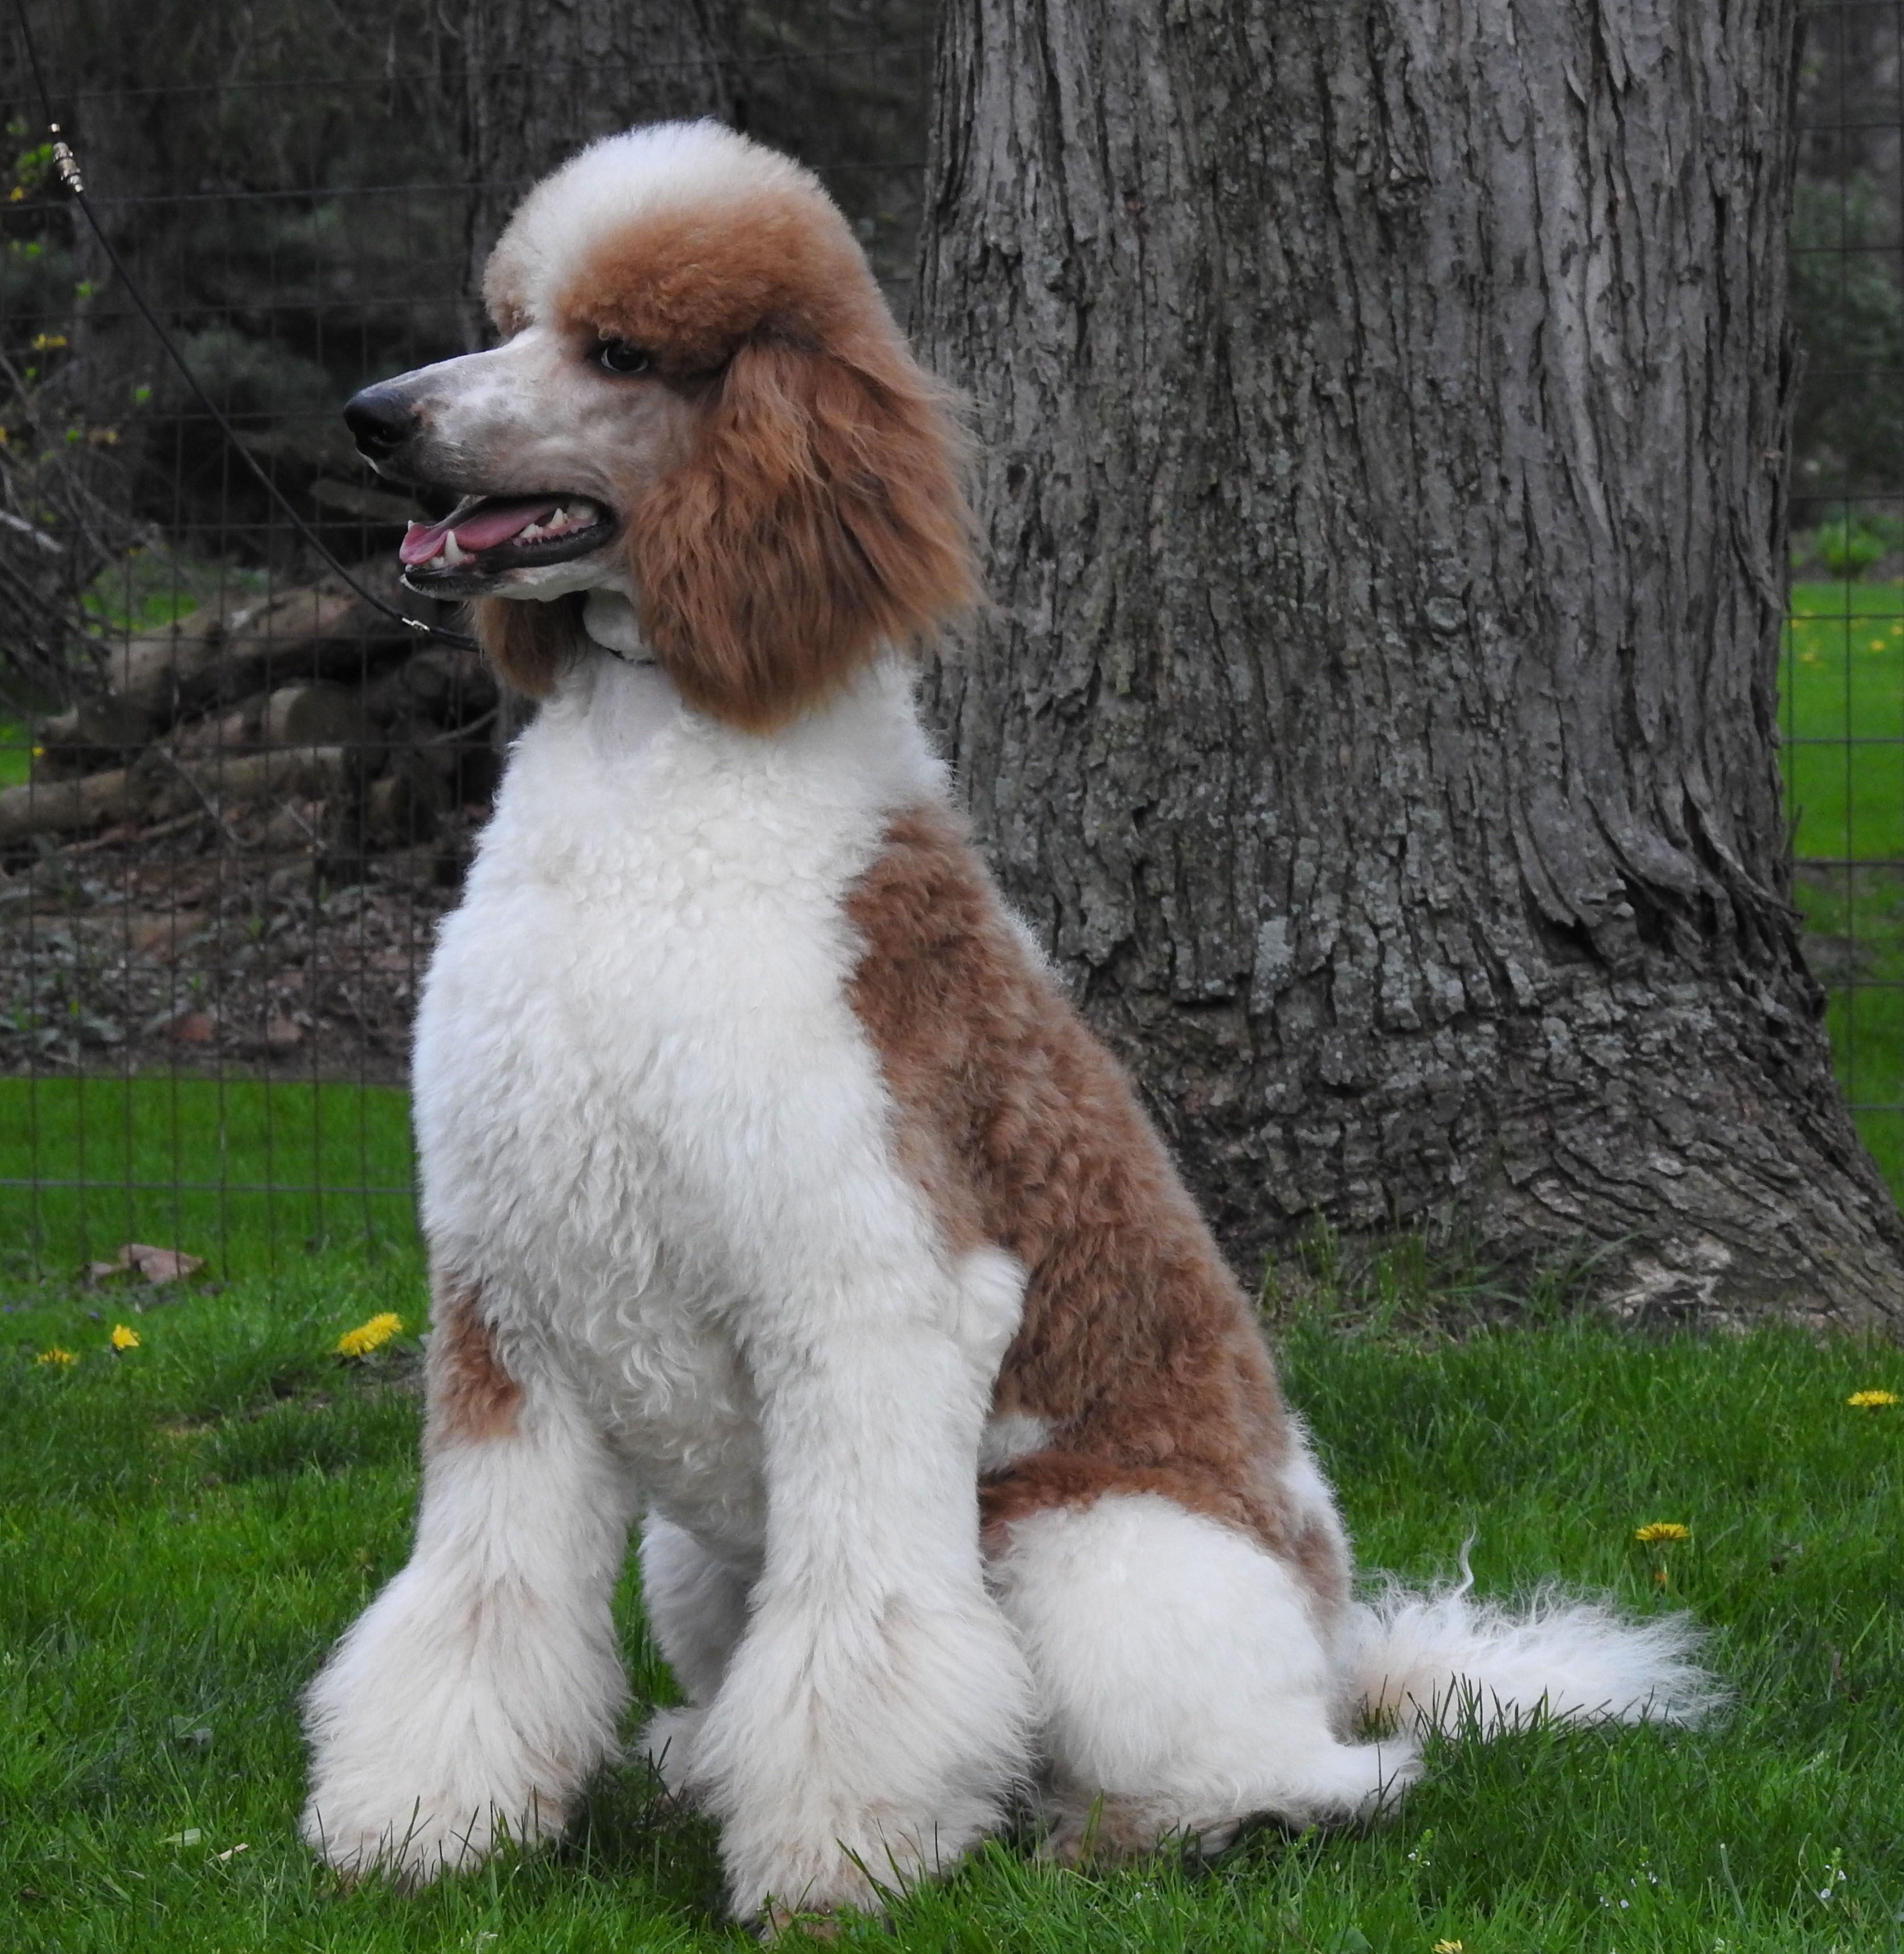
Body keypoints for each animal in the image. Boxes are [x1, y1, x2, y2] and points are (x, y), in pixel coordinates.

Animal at [303, 120, 1715, 1922]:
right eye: (505, 317)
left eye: (616, 351)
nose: (377, 414)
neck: (653, 804)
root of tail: (1342, 1646)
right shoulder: (512, 1293)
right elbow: (471, 1601)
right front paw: (421, 1830)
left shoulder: (875, 1292)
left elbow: (867, 1634)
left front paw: (835, 1862)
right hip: (694, 1546)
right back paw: (700, 1759)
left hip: (1084, 1545)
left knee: (1313, 1779)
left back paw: (1114, 1830)